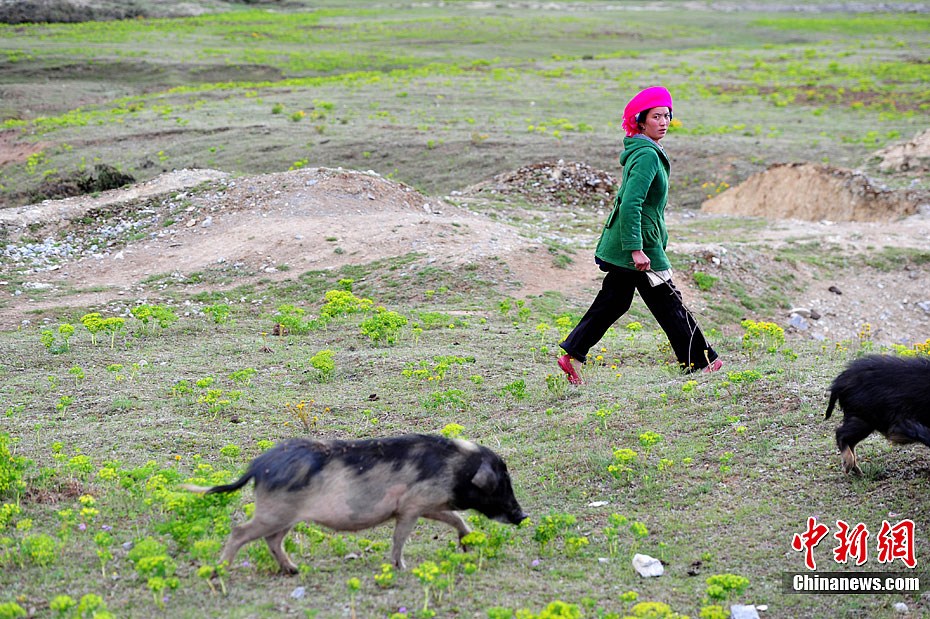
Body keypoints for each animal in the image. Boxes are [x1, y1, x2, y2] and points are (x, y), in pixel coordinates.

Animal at [183, 434, 528, 572]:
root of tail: (257, 466)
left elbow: (457, 518)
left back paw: (293, 570)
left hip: (285, 516)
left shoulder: (427, 504)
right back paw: (219, 571)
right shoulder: (412, 506)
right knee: (239, 532)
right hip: (274, 512)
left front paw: (467, 544)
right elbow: (400, 537)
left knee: (272, 540)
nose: (522, 515)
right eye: (501, 485)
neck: (458, 468)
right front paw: (400, 567)